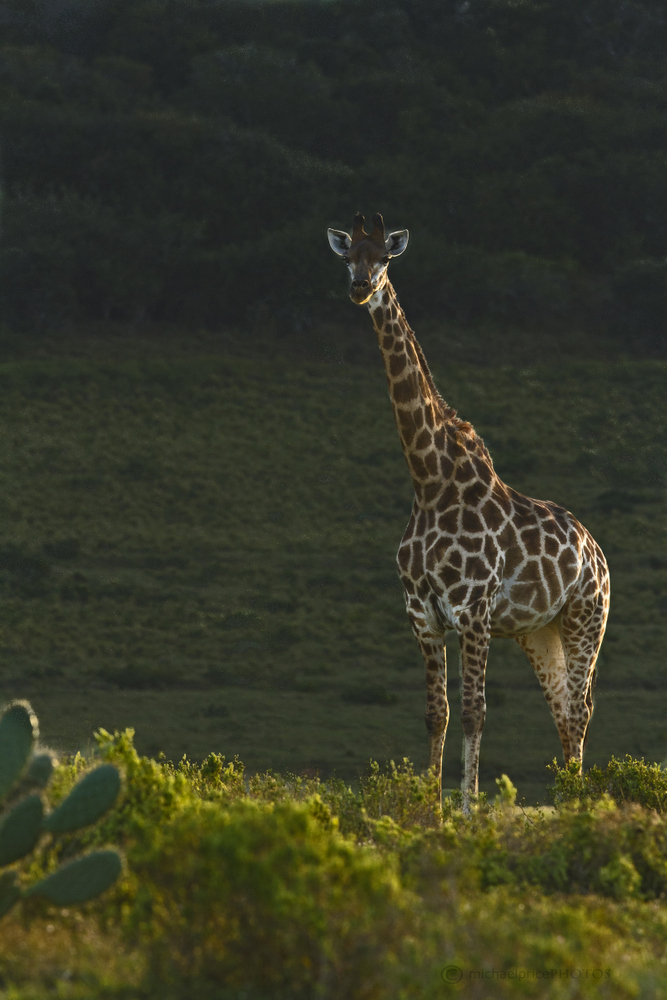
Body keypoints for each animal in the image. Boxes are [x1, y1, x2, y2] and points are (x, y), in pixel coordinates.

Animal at [328, 215, 612, 808]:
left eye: (384, 259)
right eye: (347, 258)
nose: (360, 288)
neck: (429, 479)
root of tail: (598, 555)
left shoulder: (472, 610)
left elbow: (475, 713)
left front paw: (467, 810)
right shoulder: (422, 614)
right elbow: (436, 714)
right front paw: (429, 809)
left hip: (586, 618)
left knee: (580, 709)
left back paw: (575, 807)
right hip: (539, 631)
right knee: (562, 711)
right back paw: (567, 801)